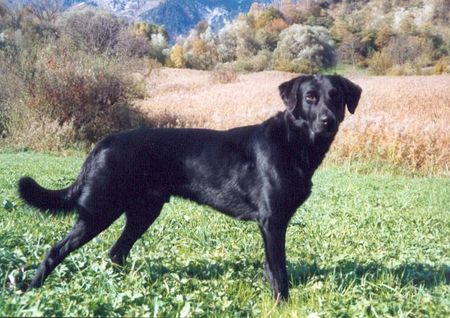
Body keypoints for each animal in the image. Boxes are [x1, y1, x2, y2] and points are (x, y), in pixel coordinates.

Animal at [18, 74, 362, 298]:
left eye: (336, 96)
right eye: (310, 98)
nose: (328, 121)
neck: (295, 142)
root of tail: (103, 143)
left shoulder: (271, 225)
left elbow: (270, 268)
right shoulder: (272, 221)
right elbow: (279, 270)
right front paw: (282, 303)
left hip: (143, 212)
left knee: (116, 252)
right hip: (99, 211)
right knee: (56, 250)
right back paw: (30, 290)